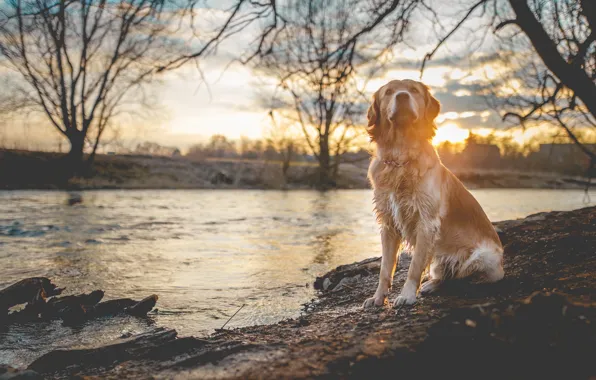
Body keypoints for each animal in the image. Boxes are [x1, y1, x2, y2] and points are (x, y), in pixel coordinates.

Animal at [364, 78, 502, 308]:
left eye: (413, 90)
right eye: (389, 92)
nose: (402, 96)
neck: (401, 156)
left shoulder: (426, 222)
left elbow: (414, 267)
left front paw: (407, 295)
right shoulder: (388, 223)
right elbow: (385, 268)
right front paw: (377, 297)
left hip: (483, 257)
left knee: (464, 277)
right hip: (439, 260)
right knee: (447, 275)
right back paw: (431, 284)